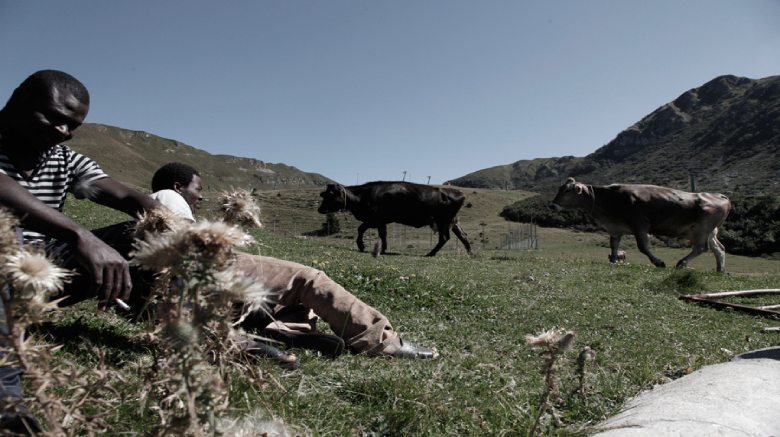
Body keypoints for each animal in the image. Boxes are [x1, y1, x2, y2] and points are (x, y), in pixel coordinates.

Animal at [316, 181, 472, 255]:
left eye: (330, 195)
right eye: (323, 194)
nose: (320, 209)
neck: (362, 195)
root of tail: (459, 192)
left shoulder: (374, 219)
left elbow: (360, 229)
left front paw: (361, 245)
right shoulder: (381, 222)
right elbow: (382, 234)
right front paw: (383, 248)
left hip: (443, 221)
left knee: (444, 238)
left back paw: (430, 253)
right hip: (452, 222)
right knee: (463, 236)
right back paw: (470, 254)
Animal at [548, 176, 732, 270]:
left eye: (567, 191)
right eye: (559, 188)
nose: (552, 205)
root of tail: (719, 195)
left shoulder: (640, 225)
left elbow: (643, 247)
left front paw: (659, 262)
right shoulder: (615, 229)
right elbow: (614, 246)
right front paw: (614, 262)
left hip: (702, 229)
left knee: (701, 248)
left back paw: (681, 263)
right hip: (709, 231)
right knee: (719, 249)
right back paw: (720, 270)